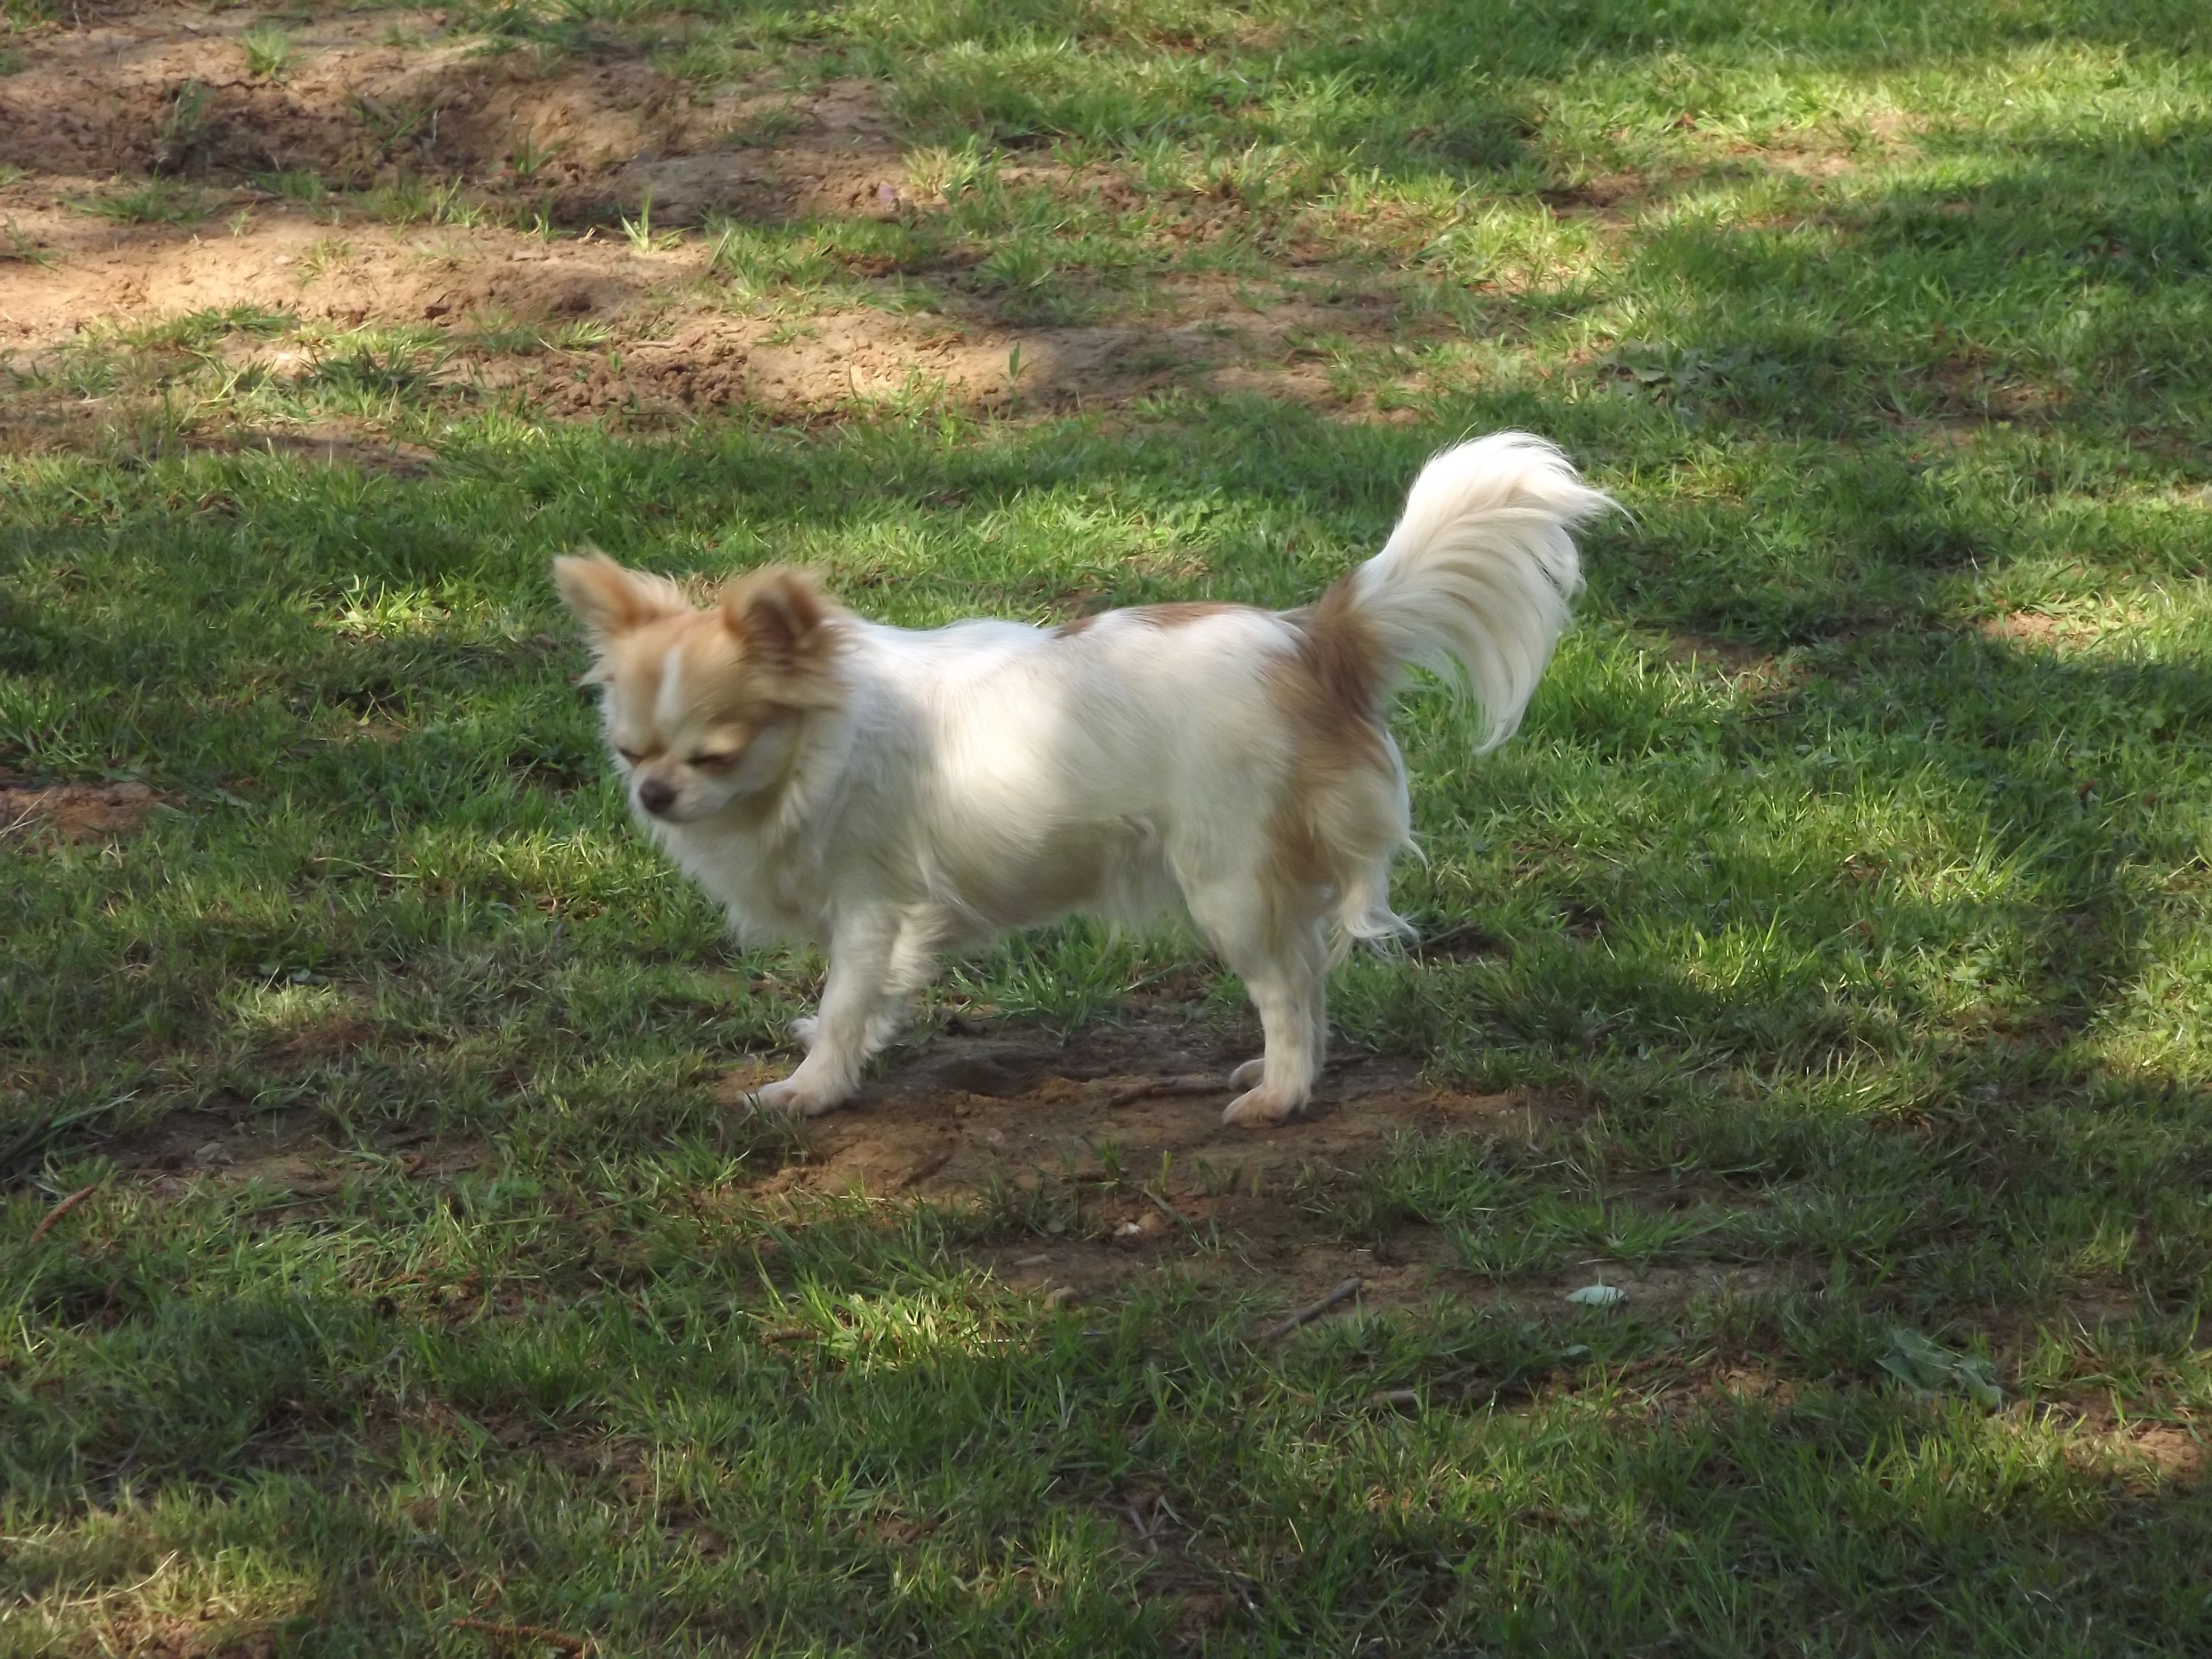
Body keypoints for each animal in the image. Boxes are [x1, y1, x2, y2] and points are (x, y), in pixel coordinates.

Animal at [557, 429, 1610, 1132]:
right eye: (630, 753)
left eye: (714, 755)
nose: (655, 796)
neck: (820, 748)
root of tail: (1312, 639)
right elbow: (852, 1008)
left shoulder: (873, 907)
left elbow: (849, 999)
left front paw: (808, 1088)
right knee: (1307, 974)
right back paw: (1275, 1077)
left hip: (1225, 881)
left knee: (1285, 984)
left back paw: (1280, 1094)